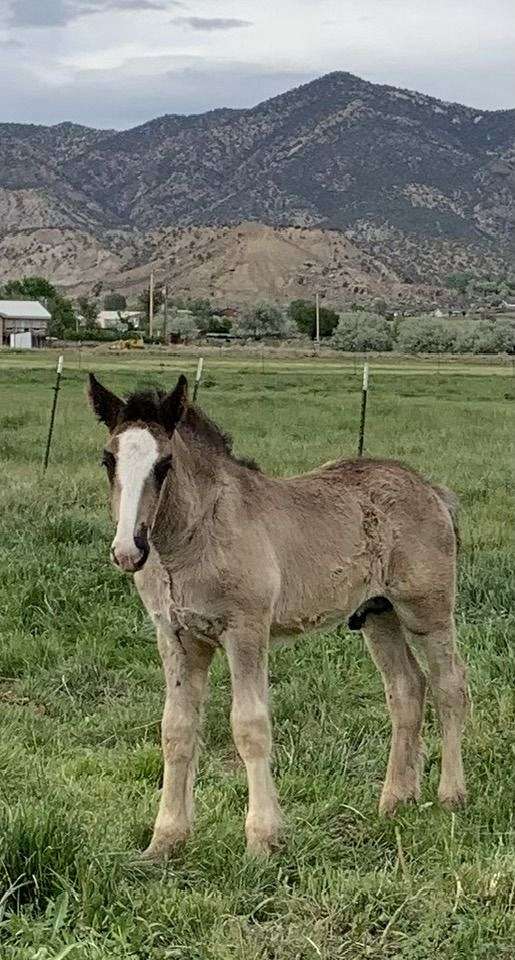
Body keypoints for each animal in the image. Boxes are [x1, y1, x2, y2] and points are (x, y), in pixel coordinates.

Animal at [88, 372, 469, 858]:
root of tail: (431, 490)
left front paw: (262, 840)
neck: (194, 540)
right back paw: (395, 800)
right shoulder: (176, 637)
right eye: (108, 460)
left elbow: (249, 725)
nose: (128, 550)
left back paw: (451, 795)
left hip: (427, 611)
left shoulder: (246, 631)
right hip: (377, 615)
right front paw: (165, 841)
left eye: (164, 463)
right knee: (406, 689)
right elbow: (176, 730)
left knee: (449, 684)